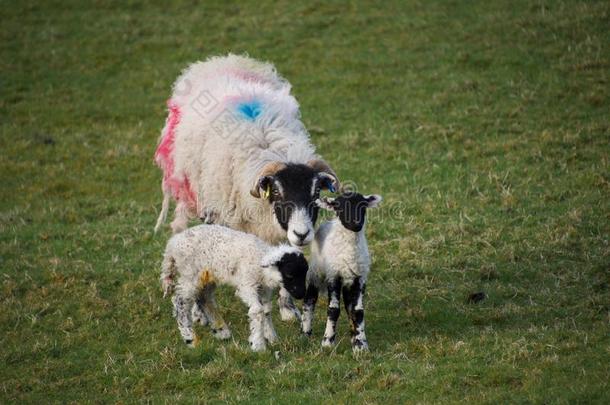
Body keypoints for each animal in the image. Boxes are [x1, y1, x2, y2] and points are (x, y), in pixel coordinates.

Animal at [159, 224, 306, 350]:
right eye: (289, 274)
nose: (301, 294)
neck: (260, 258)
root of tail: (172, 244)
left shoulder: (264, 289)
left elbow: (266, 310)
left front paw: (272, 338)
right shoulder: (247, 284)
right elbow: (257, 311)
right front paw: (258, 345)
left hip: (207, 276)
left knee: (204, 298)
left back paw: (221, 331)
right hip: (190, 274)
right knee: (180, 302)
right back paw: (190, 339)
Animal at [300, 192, 380, 350]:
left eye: (363, 207)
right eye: (341, 207)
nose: (356, 224)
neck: (349, 251)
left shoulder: (359, 278)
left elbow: (357, 311)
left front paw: (360, 344)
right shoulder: (333, 276)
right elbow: (333, 309)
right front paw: (327, 342)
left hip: (348, 280)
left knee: (349, 306)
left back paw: (353, 336)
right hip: (316, 271)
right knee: (310, 299)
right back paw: (305, 333)